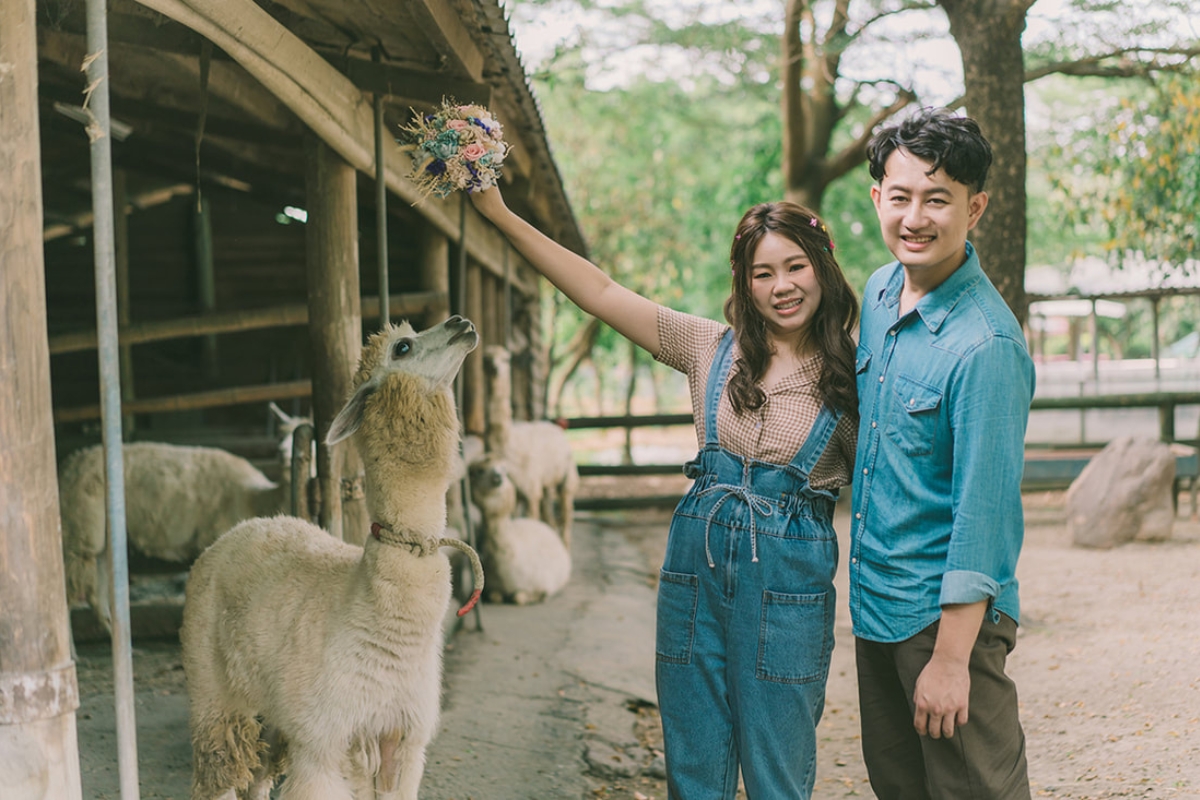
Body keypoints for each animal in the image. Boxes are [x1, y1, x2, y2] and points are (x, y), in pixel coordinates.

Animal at [60, 407, 307, 638]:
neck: (254, 497)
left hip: (99, 535)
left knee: (96, 591)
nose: (283, 453)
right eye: (280, 434)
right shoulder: (218, 538)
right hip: (82, 526)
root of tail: (70, 464)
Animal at [176, 316, 482, 800]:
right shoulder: (322, 740)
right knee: (220, 769)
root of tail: (241, 528)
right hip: (212, 687)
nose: (461, 322)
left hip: (273, 712)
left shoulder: (400, 740)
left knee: (258, 776)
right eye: (403, 346)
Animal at [465, 453, 568, 604]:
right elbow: (494, 596)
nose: (498, 477)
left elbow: (520, 597)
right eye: (480, 471)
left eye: (504, 470)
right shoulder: (491, 587)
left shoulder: (543, 584)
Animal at [477, 347, 576, 546]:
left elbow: (532, 520)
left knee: (566, 514)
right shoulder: (515, 490)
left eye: (506, 359)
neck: (509, 445)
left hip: (567, 476)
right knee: (549, 512)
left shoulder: (530, 490)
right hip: (545, 482)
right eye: (485, 360)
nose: (495, 369)